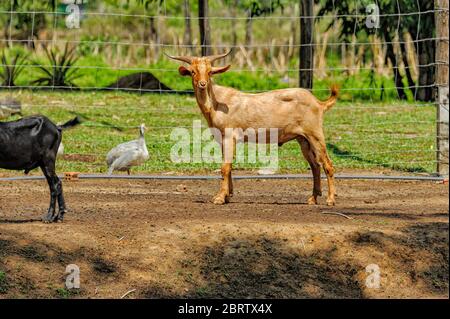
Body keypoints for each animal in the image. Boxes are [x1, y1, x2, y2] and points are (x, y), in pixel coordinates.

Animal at [168, 50, 338, 205]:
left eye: (210, 71)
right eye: (192, 71)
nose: (202, 84)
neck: (216, 103)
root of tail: (319, 103)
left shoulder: (230, 136)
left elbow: (225, 167)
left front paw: (219, 198)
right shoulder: (221, 139)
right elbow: (228, 166)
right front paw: (228, 195)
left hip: (315, 134)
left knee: (328, 165)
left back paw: (330, 199)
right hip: (303, 139)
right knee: (315, 165)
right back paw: (313, 198)